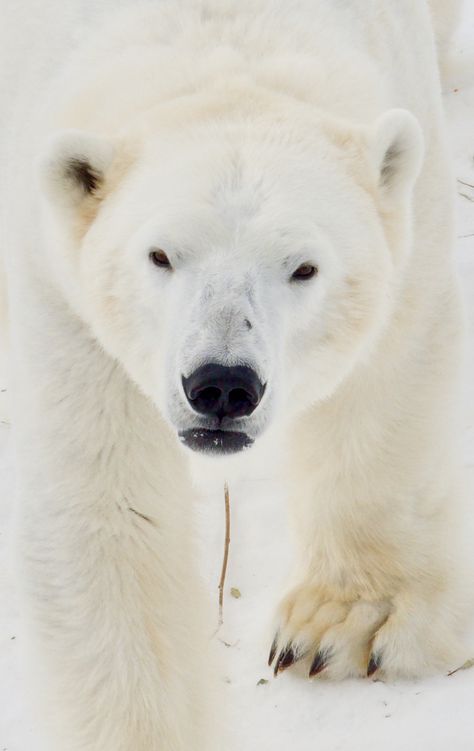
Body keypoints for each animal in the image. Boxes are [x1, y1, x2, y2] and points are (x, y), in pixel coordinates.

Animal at [1, 0, 468, 748]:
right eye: (159, 254)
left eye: (304, 266)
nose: (222, 384)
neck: (226, 36)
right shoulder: (61, 284)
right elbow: (107, 495)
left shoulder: (408, 208)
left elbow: (387, 381)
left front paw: (344, 627)